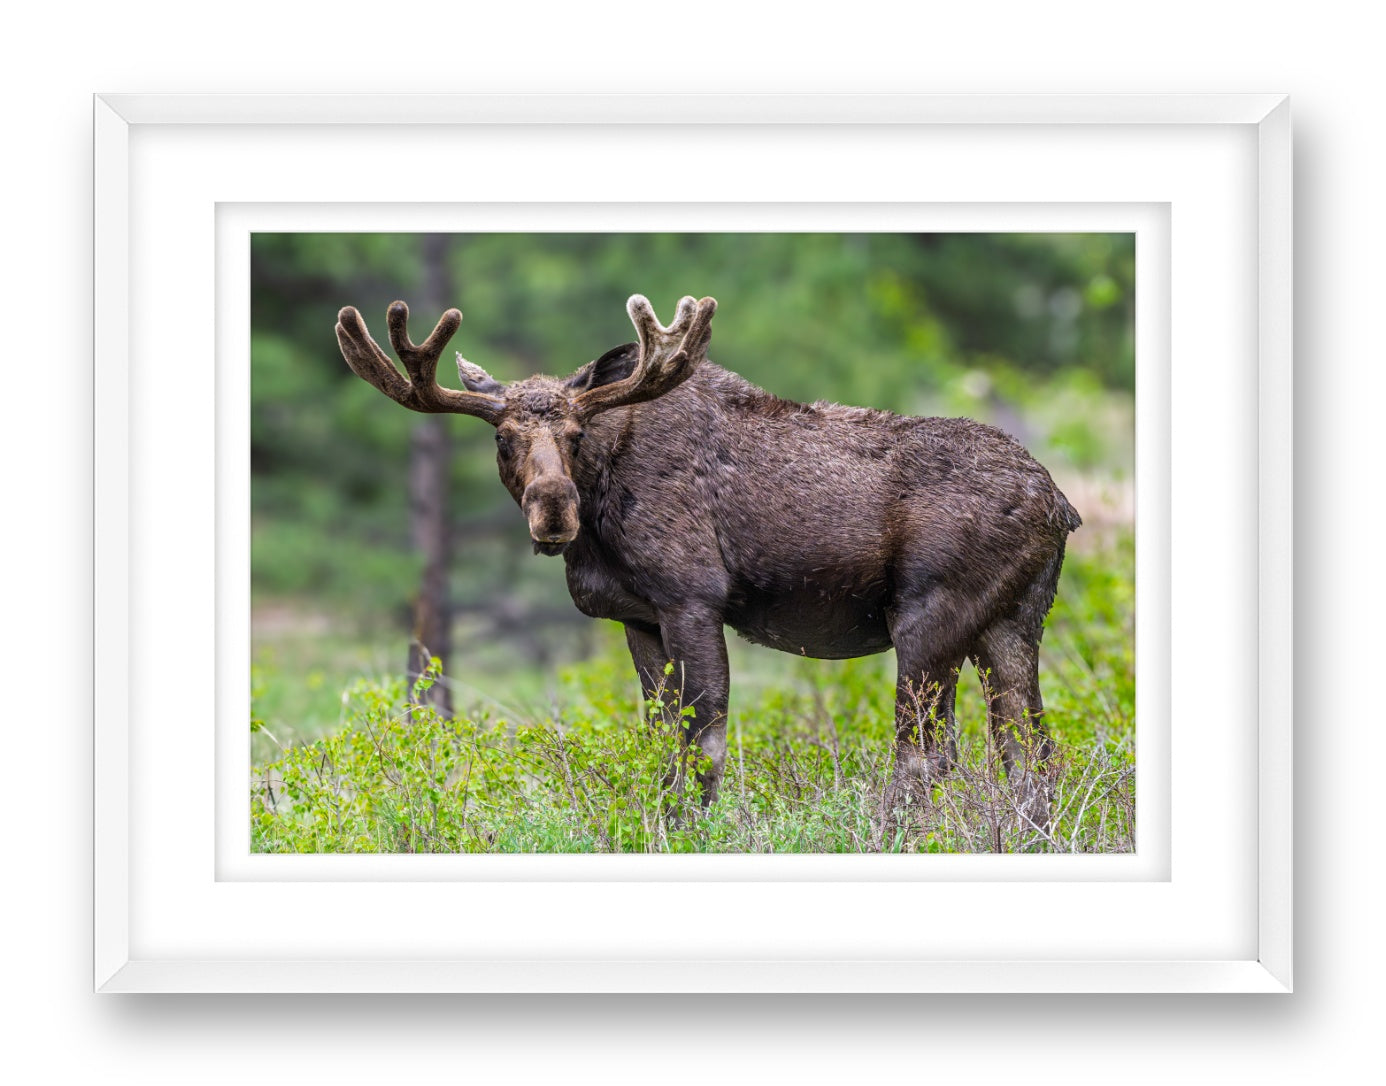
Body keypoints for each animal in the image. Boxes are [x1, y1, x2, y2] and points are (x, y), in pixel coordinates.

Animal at [334, 294, 1081, 825]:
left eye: (575, 433)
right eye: (503, 439)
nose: (553, 512)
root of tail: (1060, 504)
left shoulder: (691, 598)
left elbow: (702, 744)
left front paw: (691, 829)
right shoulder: (636, 618)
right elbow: (659, 741)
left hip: (929, 618)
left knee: (928, 755)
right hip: (1012, 622)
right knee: (1029, 755)